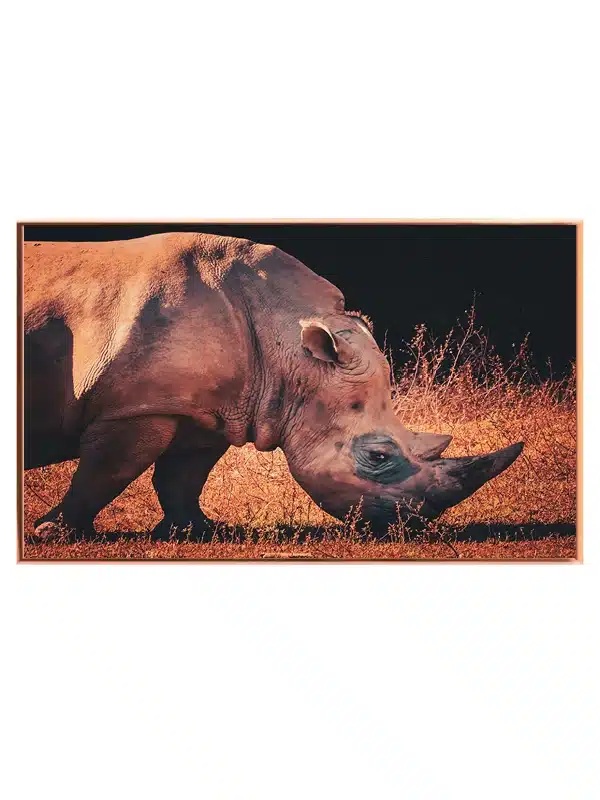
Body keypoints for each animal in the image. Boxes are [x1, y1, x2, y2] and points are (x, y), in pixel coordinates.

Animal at [23, 231, 523, 539]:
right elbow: (107, 472)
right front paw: (53, 534)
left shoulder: (210, 408)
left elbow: (183, 476)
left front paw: (199, 532)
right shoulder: (137, 406)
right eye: (379, 457)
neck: (289, 339)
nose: (408, 527)